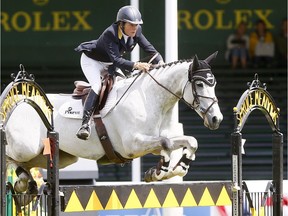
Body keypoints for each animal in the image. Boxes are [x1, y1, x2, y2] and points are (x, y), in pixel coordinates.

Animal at [2, 51, 223, 202]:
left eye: (214, 84)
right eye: (200, 84)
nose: (216, 119)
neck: (150, 98)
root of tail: (19, 102)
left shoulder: (151, 142)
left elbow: (188, 142)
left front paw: (174, 169)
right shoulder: (133, 145)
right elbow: (166, 143)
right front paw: (160, 171)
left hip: (57, 156)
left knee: (27, 165)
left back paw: (24, 182)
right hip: (25, 147)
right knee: (10, 155)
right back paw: (22, 181)